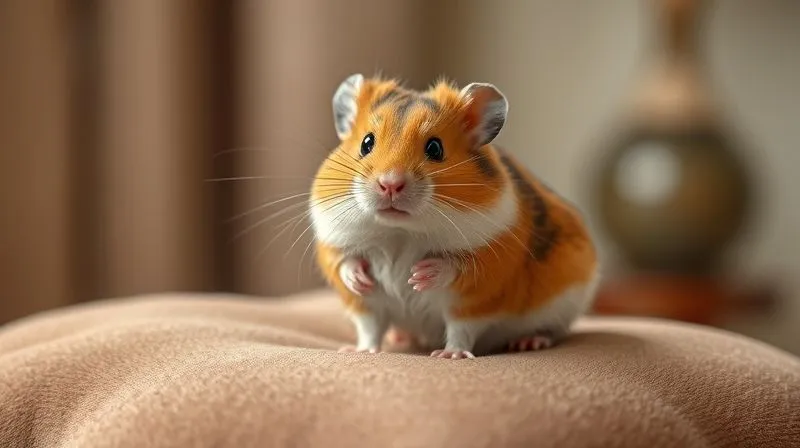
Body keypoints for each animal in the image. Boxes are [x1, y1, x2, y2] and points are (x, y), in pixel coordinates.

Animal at [310, 73, 599, 359]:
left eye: (435, 148)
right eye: (366, 143)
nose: (390, 184)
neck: (400, 232)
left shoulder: (483, 276)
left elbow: (457, 279)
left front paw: (419, 275)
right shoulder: (350, 279)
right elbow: (357, 294)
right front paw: (360, 289)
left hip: (562, 304)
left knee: (547, 331)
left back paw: (508, 345)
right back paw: (389, 340)